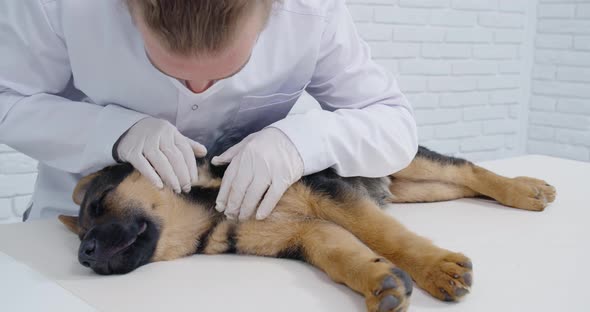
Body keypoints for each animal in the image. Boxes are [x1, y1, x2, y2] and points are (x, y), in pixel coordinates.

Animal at [57, 137, 556, 312]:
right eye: (80, 233)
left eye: (101, 202)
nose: (83, 255)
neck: (213, 216)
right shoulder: (310, 232)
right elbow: (346, 256)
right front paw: (380, 281)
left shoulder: (332, 195)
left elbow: (385, 235)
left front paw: (434, 268)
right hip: (414, 187)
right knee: (465, 184)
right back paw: (523, 189)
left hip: (406, 159)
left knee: (468, 169)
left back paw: (526, 190)